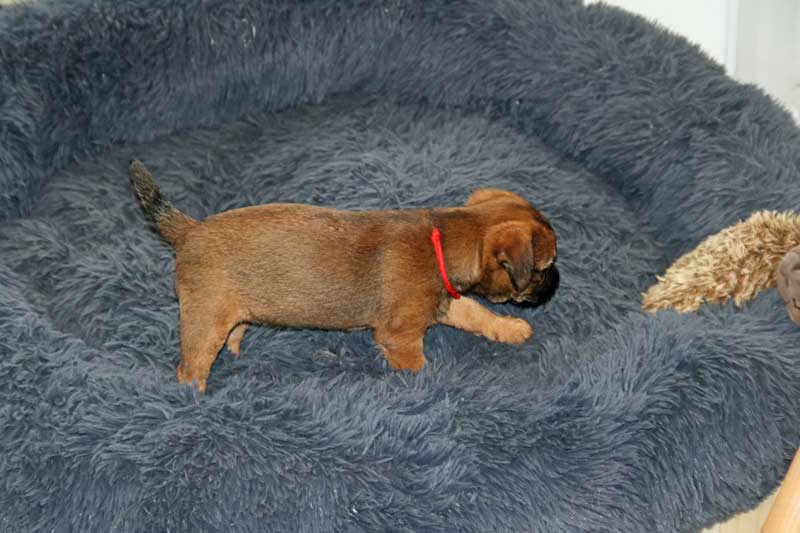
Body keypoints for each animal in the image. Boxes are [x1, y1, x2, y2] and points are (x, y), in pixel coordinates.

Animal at [130, 160, 559, 392]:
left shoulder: (444, 302)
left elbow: (479, 314)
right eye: (543, 269)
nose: (557, 283)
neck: (445, 239)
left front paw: (510, 328)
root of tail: (189, 230)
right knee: (190, 368)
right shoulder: (400, 334)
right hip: (204, 321)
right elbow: (418, 364)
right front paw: (432, 384)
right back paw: (195, 399)